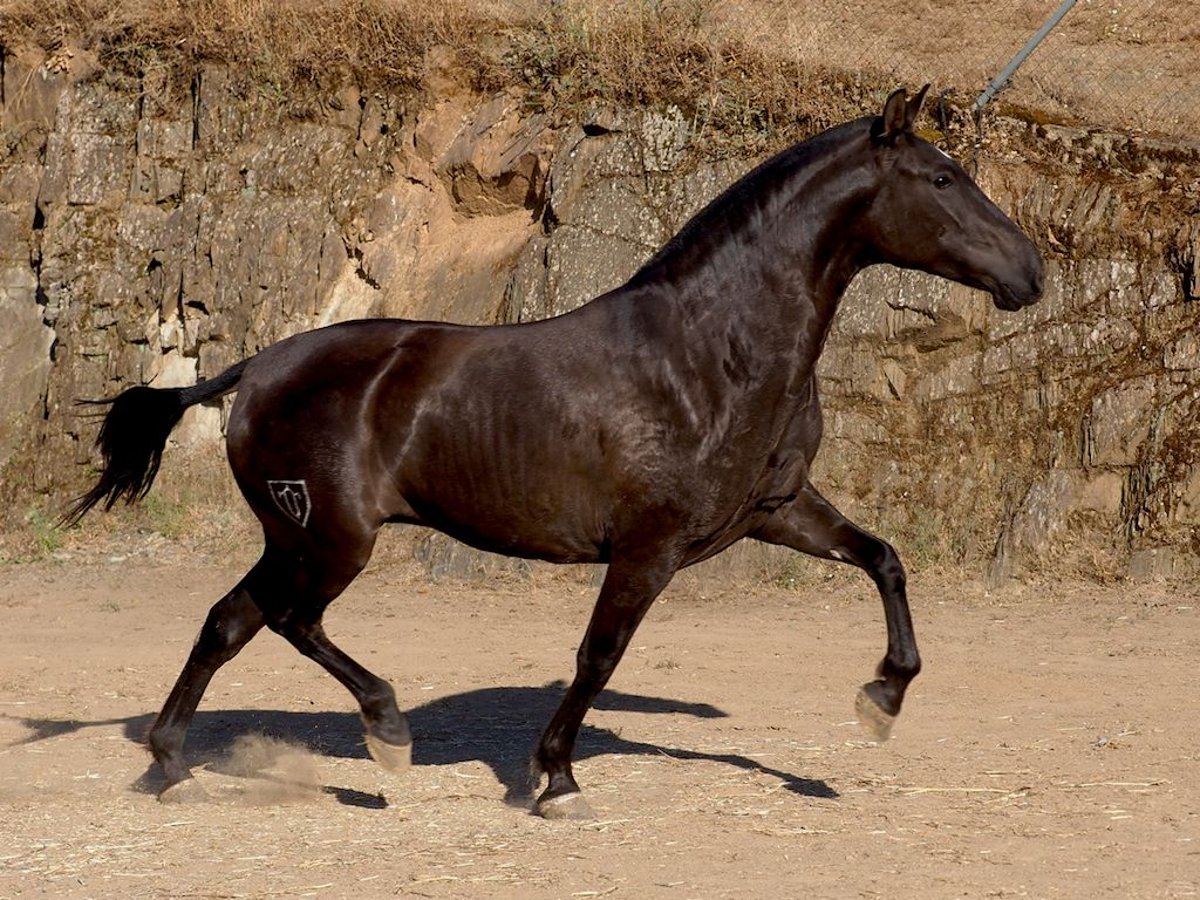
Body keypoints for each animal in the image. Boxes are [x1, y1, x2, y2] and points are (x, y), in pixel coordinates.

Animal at [68, 88, 1041, 820]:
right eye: (943, 177)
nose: (1030, 271)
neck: (710, 351)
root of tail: (257, 367)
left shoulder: (774, 510)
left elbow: (884, 559)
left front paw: (882, 700)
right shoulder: (650, 547)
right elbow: (599, 656)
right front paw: (557, 781)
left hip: (296, 538)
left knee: (230, 620)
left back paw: (170, 766)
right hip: (331, 540)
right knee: (286, 621)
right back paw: (386, 733)